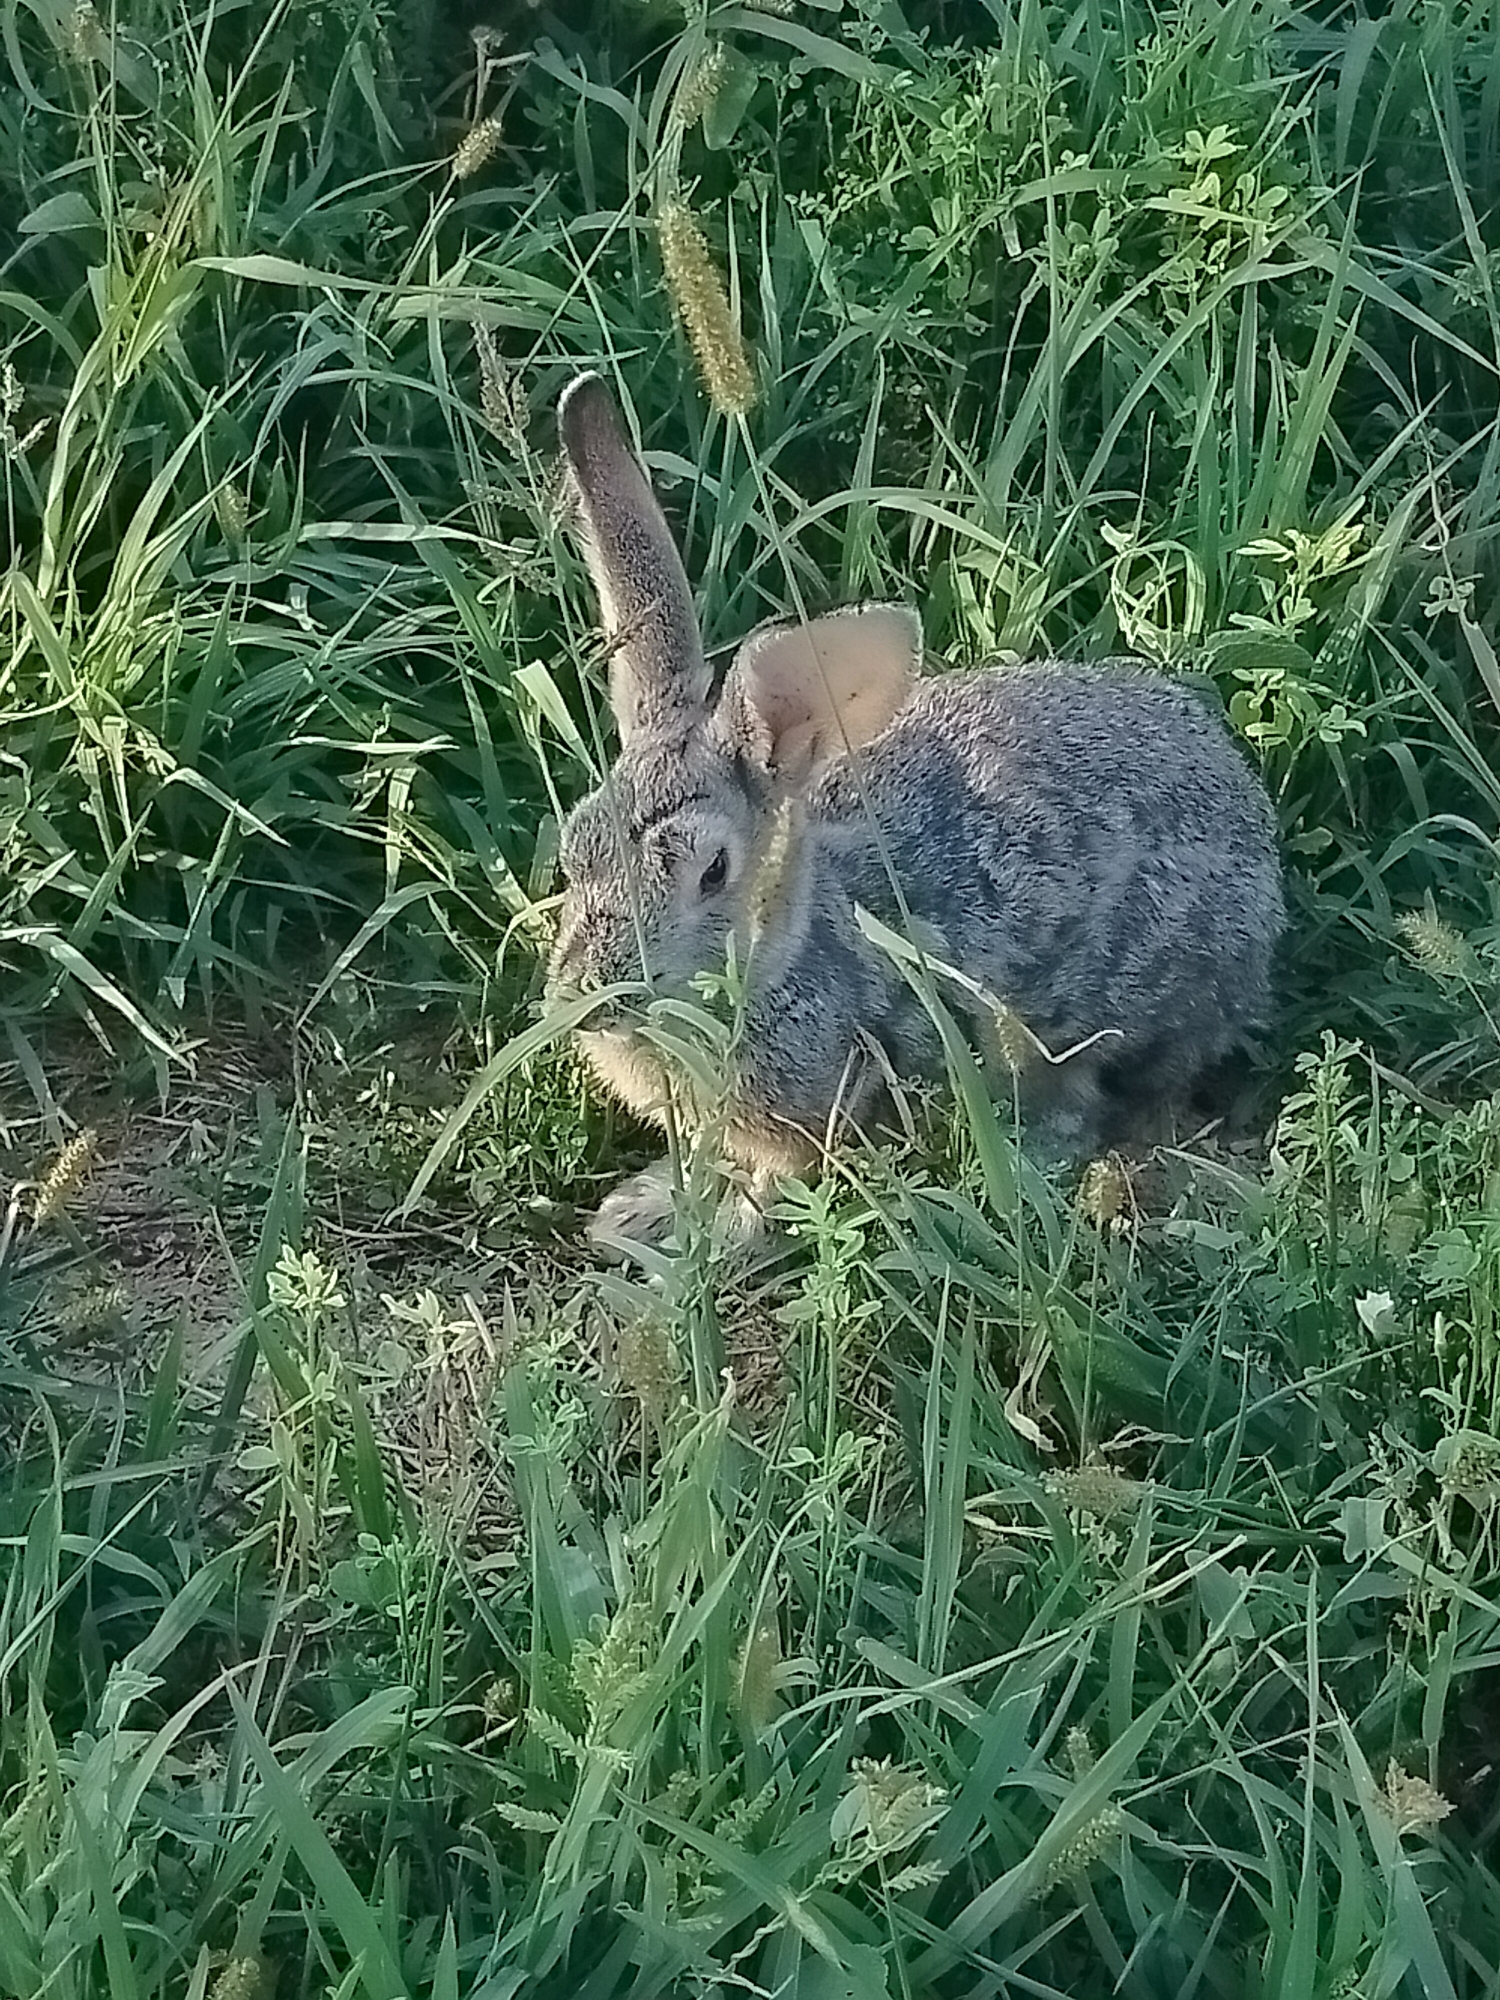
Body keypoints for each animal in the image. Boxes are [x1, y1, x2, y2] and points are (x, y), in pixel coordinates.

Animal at [545, 371, 1286, 1252]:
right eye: (572, 852)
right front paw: (643, 1209)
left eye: (713, 872)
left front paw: (717, 1233)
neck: (782, 957)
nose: (589, 995)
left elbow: (775, 1183)